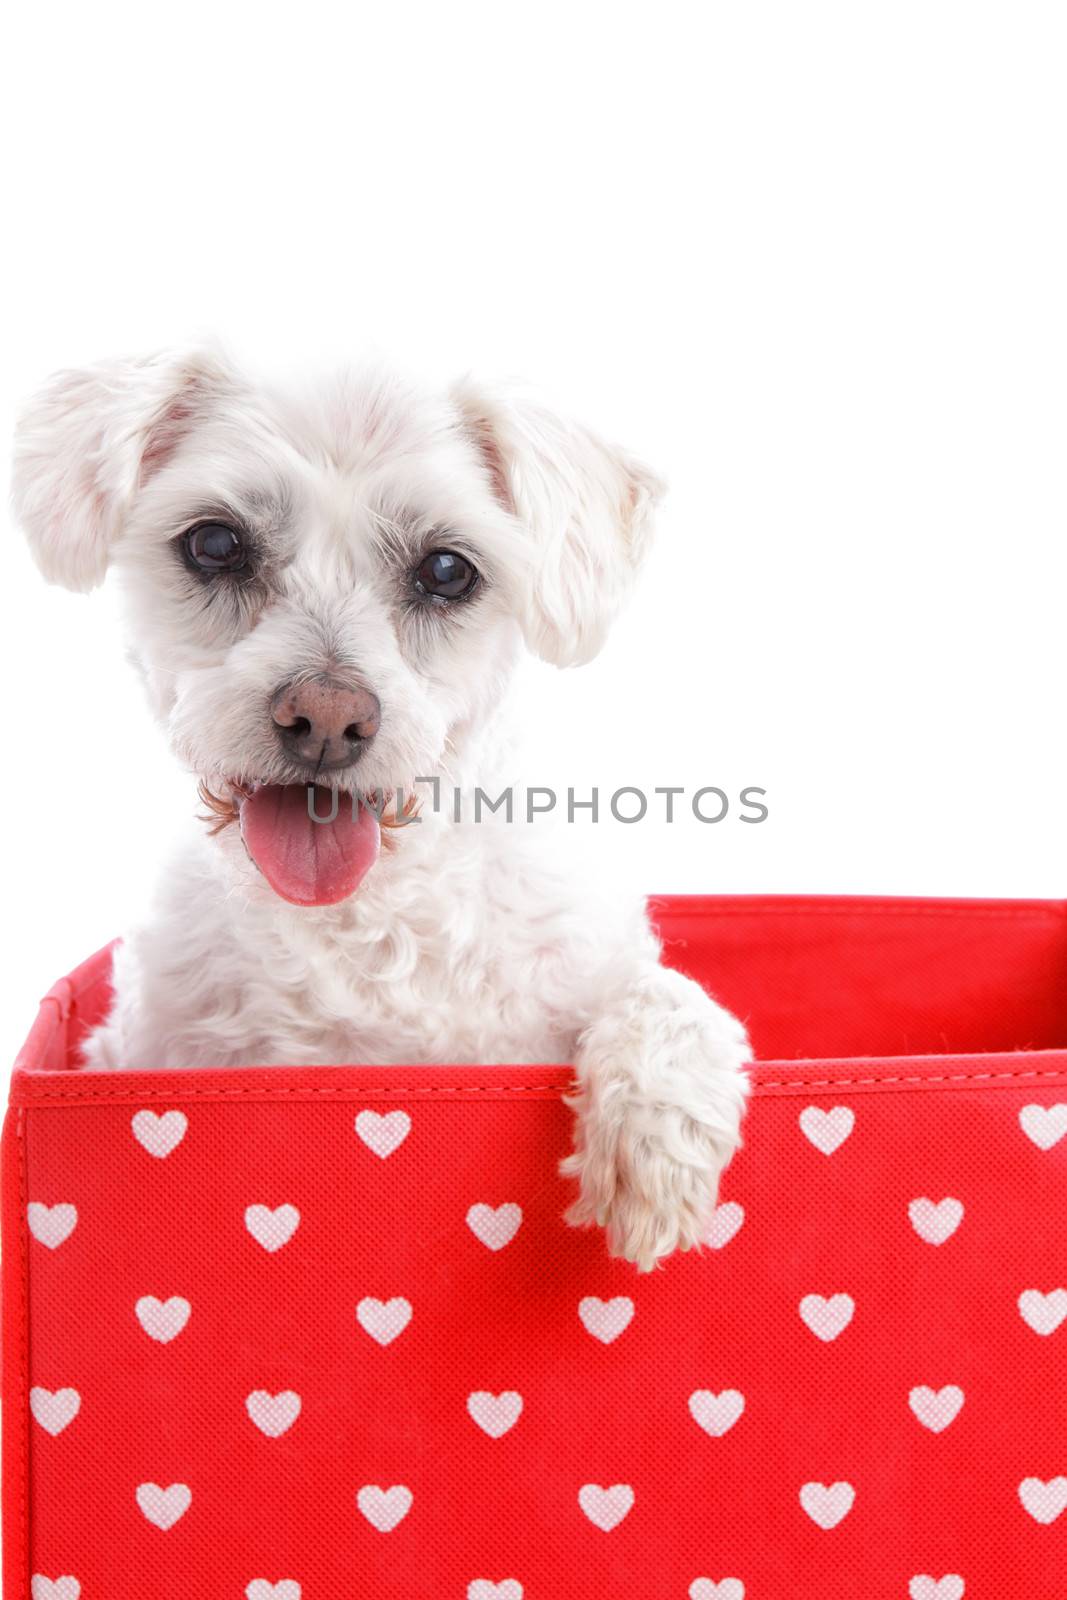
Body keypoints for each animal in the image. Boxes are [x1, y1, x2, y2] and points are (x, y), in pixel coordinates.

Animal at [14, 347, 751, 1260]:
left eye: (446, 569)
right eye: (215, 542)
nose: (326, 718)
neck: (364, 920)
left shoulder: (594, 966)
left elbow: (674, 998)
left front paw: (653, 1147)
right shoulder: (142, 1049)